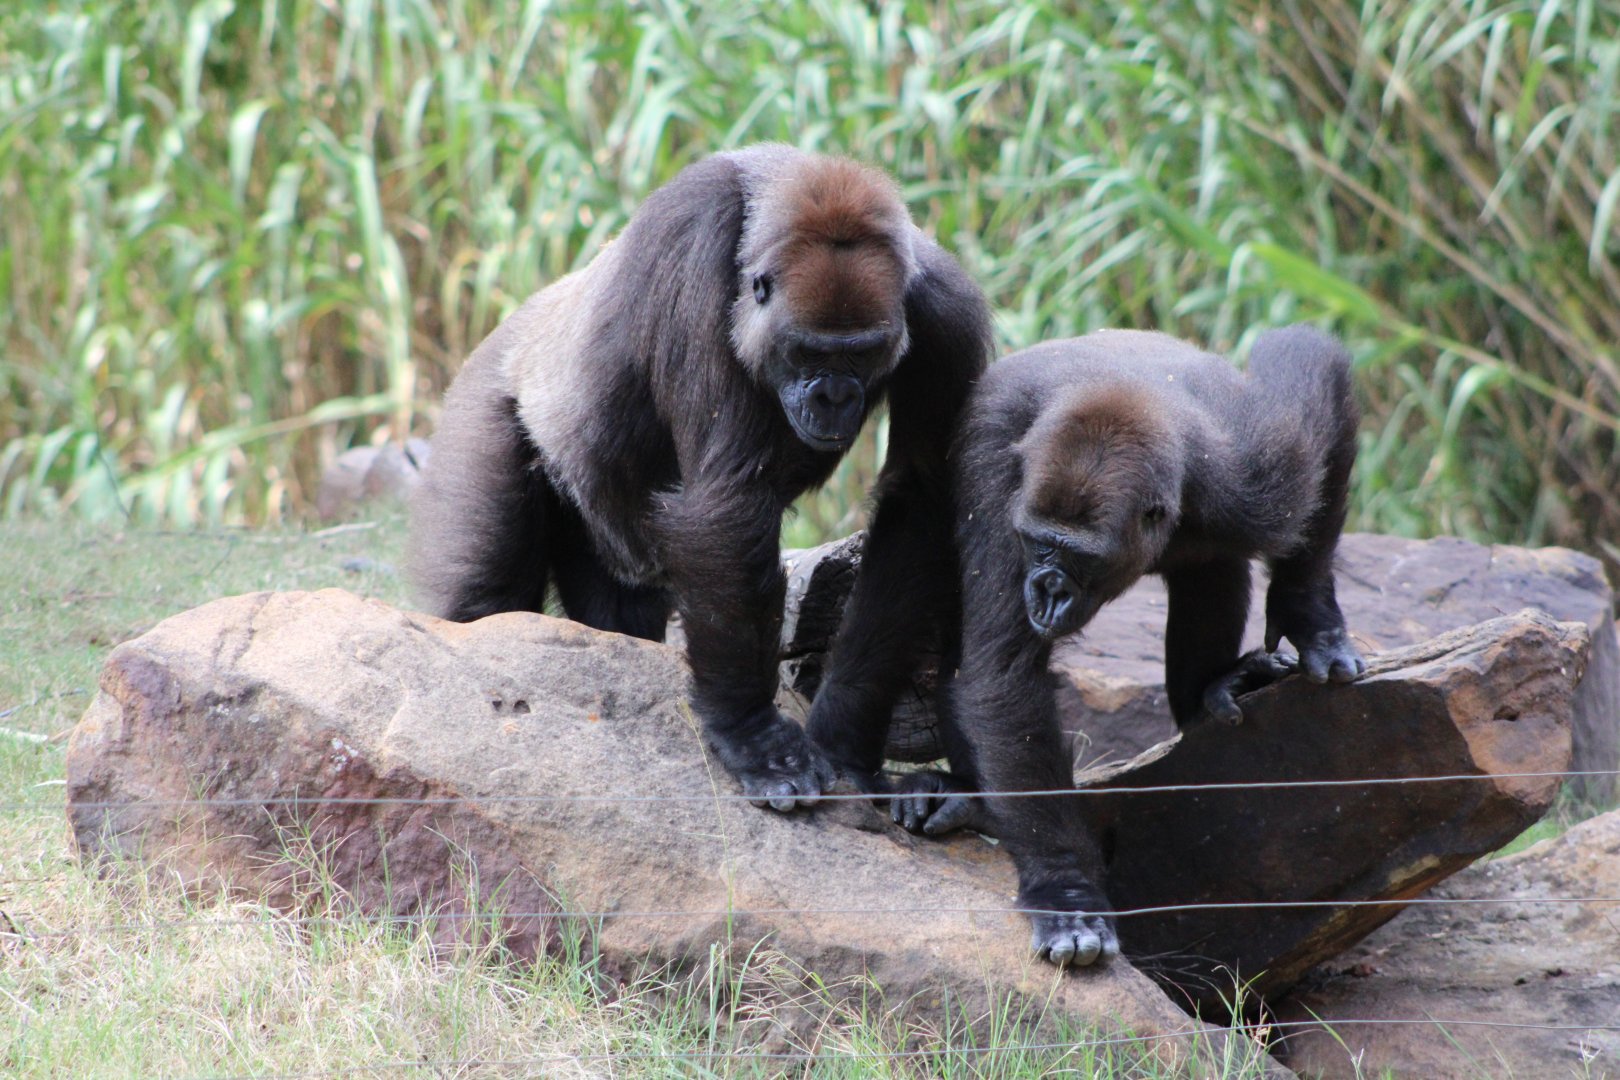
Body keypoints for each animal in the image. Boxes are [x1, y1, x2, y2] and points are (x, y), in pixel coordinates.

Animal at [408, 145, 991, 812]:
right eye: (808, 352)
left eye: (863, 353)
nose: (835, 399)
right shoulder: (696, 240)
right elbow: (727, 505)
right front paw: (754, 737)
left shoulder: (944, 309)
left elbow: (918, 500)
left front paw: (845, 732)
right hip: (484, 403)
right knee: (487, 596)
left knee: (617, 611)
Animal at [890, 325, 1365, 968]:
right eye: (1037, 543)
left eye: (1077, 556)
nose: (1046, 593)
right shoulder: (997, 483)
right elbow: (1001, 678)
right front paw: (1065, 887)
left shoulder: (1255, 472)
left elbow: (1313, 362)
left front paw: (1306, 610)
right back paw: (963, 796)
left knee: (1210, 570)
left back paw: (1211, 689)